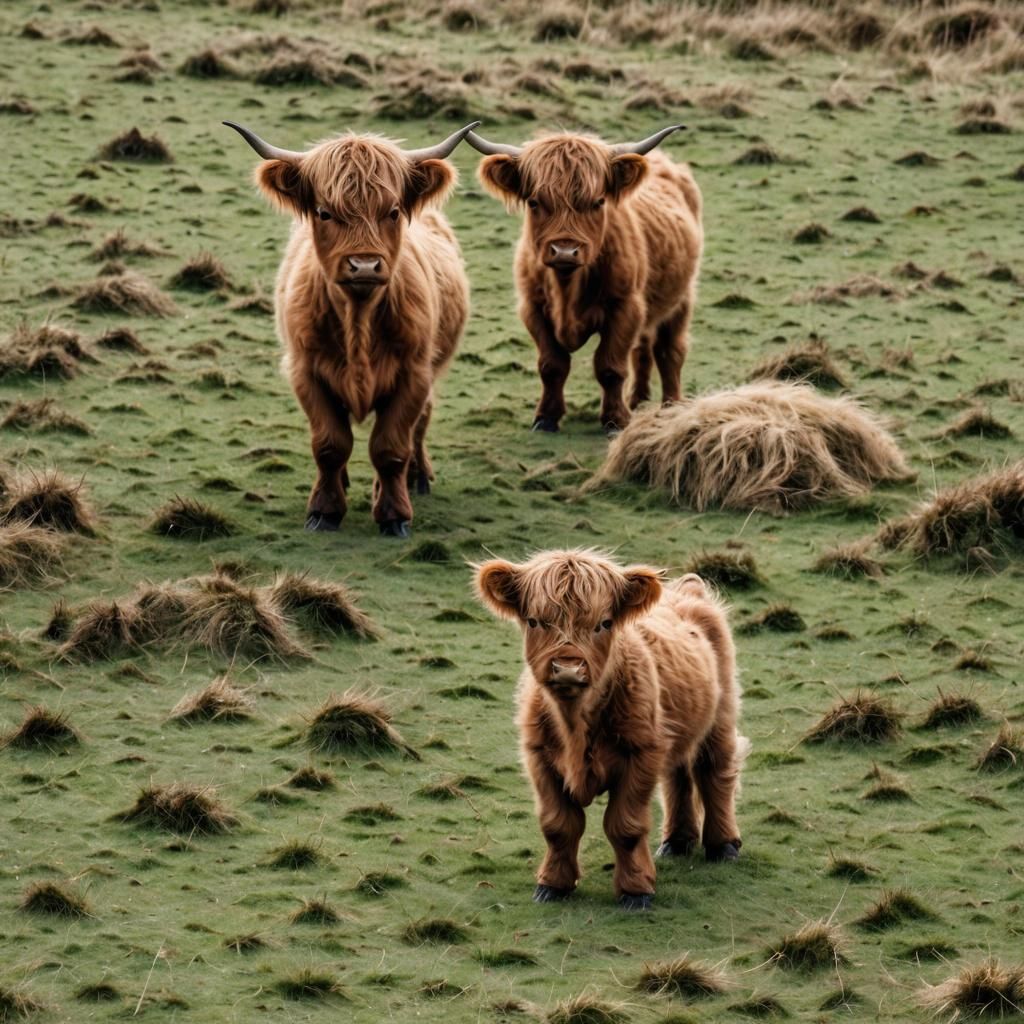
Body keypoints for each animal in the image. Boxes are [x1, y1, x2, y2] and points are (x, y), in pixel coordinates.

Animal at [224, 120, 477, 537]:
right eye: (325, 212)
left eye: (393, 211)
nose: (364, 265)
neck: (358, 320)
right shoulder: (306, 371)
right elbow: (330, 444)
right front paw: (324, 510)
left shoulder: (413, 374)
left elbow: (390, 447)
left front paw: (394, 515)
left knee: (419, 426)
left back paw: (416, 478)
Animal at [465, 126, 703, 435]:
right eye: (534, 202)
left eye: (598, 201)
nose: (565, 251)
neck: (567, 287)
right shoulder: (533, 307)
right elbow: (552, 365)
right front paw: (546, 417)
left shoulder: (625, 307)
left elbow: (610, 366)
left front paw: (615, 420)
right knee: (643, 347)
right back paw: (637, 400)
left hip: (682, 298)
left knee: (669, 351)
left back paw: (670, 407)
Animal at [474, 549, 746, 910]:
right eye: (534, 621)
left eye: (604, 623)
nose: (568, 670)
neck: (575, 724)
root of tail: (685, 589)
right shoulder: (539, 758)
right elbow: (558, 825)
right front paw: (552, 885)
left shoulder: (639, 754)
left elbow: (625, 826)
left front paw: (636, 891)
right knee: (678, 777)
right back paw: (676, 841)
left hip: (720, 717)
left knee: (715, 773)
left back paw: (723, 845)